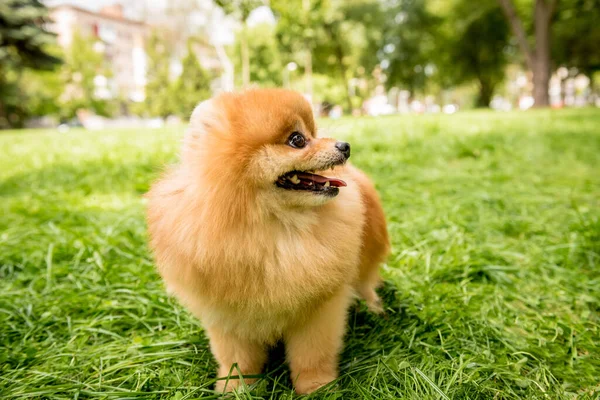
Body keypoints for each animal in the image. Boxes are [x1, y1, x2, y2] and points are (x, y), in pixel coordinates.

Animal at [145, 88, 390, 394]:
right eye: (297, 140)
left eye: (314, 132)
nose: (345, 146)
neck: (272, 229)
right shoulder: (227, 317)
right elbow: (237, 359)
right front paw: (236, 389)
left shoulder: (318, 310)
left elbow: (313, 355)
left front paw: (316, 387)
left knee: (367, 281)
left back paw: (374, 307)